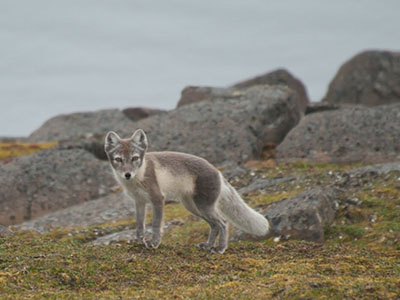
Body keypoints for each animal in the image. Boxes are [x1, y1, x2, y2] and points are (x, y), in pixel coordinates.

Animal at [104, 129, 270, 253]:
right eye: (118, 159)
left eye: (135, 158)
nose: (127, 175)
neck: (139, 176)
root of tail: (218, 172)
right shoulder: (139, 201)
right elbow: (139, 225)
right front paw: (139, 241)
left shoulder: (158, 198)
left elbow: (156, 224)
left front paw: (154, 243)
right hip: (194, 208)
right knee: (214, 225)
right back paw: (208, 245)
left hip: (204, 206)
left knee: (223, 222)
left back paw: (220, 248)